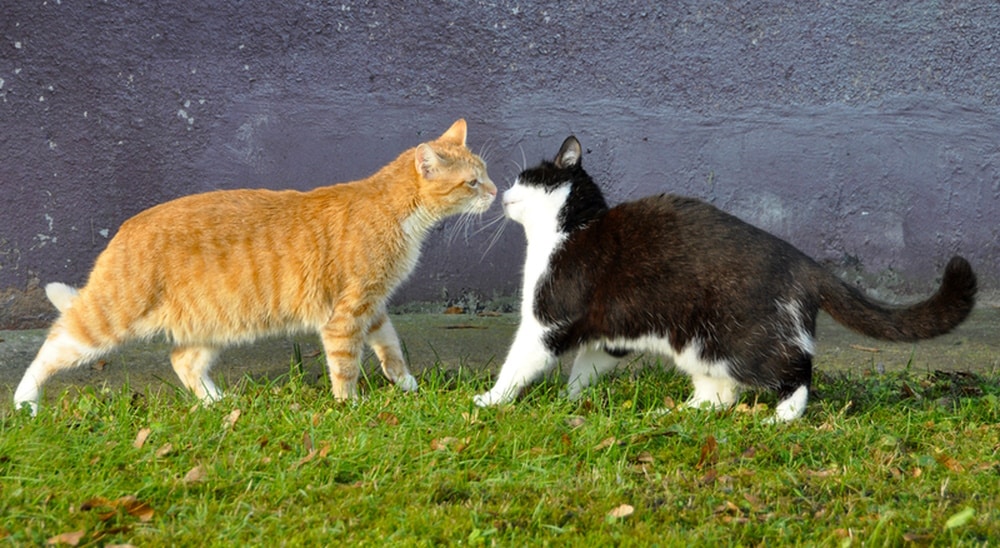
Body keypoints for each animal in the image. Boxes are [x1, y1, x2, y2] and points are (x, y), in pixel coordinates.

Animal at [13, 117, 498, 414]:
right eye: (472, 182)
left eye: (486, 174)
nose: (495, 192)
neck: (395, 211)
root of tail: (124, 229)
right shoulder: (346, 313)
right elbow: (345, 364)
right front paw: (350, 406)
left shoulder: (372, 307)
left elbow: (391, 347)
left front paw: (406, 384)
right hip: (108, 319)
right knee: (52, 345)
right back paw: (24, 401)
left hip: (213, 324)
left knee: (183, 360)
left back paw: (217, 403)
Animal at [476, 136, 976, 420]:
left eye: (525, 177)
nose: (504, 191)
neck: (570, 229)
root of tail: (804, 263)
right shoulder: (611, 332)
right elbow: (588, 365)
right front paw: (573, 400)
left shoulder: (548, 319)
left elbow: (520, 363)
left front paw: (490, 400)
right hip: (700, 345)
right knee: (720, 396)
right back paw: (673, 412)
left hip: (743, 340)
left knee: (797, 370)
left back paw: (783, 416)